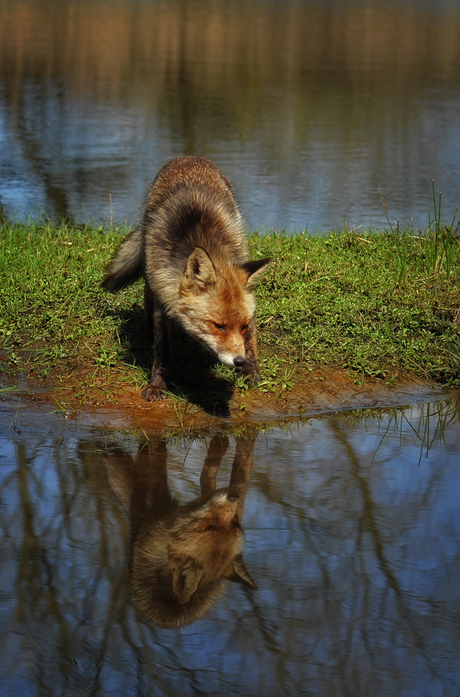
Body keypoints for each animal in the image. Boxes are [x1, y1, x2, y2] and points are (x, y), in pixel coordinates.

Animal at [102, 155, 270, 400]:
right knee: (147, 295)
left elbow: (251, 340)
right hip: (151, 266)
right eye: (218, 326)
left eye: (243, 326)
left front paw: (251, 370)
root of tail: (188, 157)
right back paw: (147, 333)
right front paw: (158, 384)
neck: (201, 238)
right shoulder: (164, 297)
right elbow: (162, 352)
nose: (239, 361)